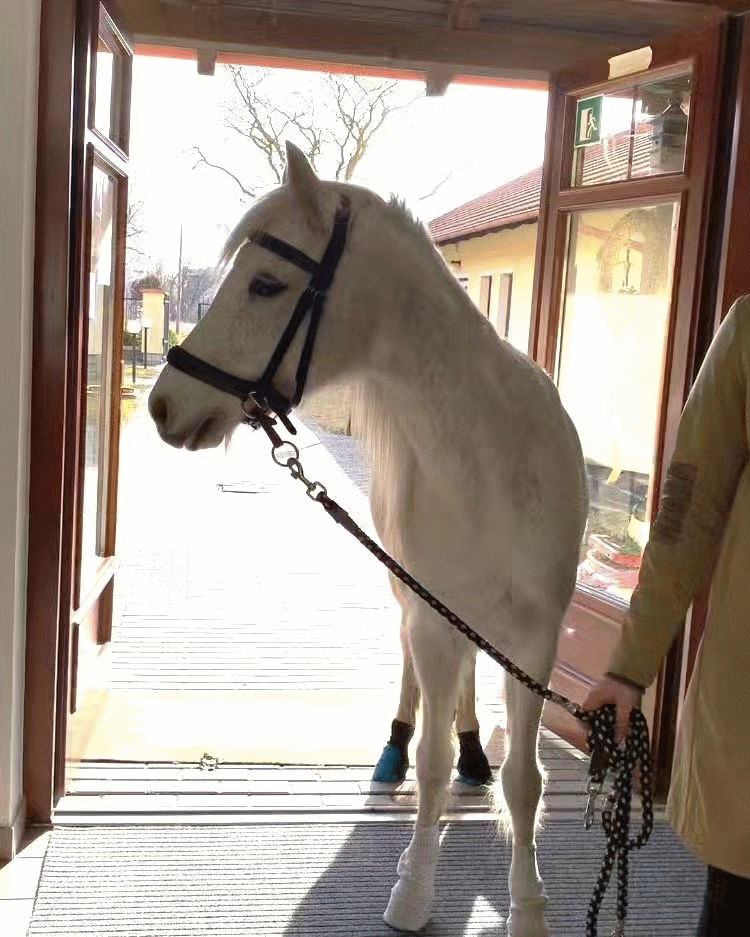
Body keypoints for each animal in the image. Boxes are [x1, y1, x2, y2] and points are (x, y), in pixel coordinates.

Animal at [148, 141, 588, 936]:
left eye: (265, 284)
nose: (164, 403)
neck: (490, 465)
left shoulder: (538, 636)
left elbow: (524, 778)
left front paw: (529, 906)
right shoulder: (432, 615)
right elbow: (433, 765)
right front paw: (413, 890)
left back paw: (474, 750)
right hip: (411, 599)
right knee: (417, 677)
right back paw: (398, 746)